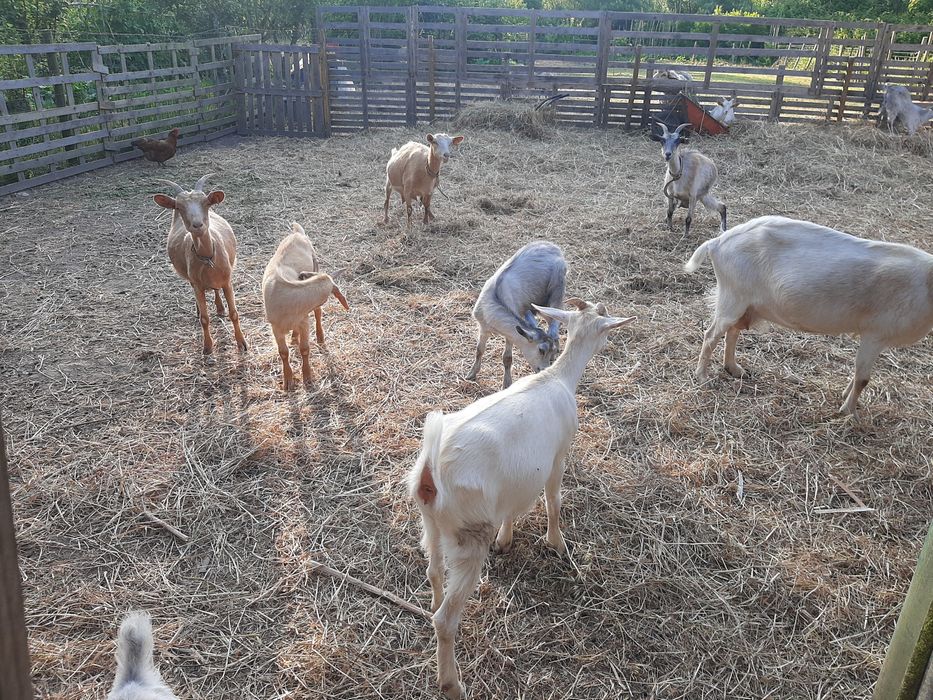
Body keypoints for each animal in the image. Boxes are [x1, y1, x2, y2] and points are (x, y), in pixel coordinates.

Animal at [155, 174, 247, 355]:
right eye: (178, 207)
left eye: (206, 203)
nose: (197, 225)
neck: (208, 257)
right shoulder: (197, 284)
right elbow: (205, 319)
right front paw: (208, 347)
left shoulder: (227, 281)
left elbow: (234, 313)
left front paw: (242, 344)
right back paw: (199, 310)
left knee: (216, 291)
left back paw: (220, 308)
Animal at [262, 222, 350, 388]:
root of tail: (297, 232)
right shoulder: (275, 327)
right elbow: (283, 352)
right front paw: (288, 381)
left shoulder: (304, 322)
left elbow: (304, 349)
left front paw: (307, 377)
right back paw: (293, 338)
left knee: (317, 313)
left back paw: (320, 337)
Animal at [409, 298, 635, 699]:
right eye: (606, 328)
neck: (558, 377)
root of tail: (431, 470)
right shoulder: (558, 455)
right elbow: (554, 500)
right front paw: (557, 543)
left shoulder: (514, 482)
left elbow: (513, 508)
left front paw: (507, 540)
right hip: (469, 533)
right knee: (446, 618)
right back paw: (452, 683)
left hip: (431, 522)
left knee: (433, 571)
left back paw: (432, 609)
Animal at [464, 241, 567, 389]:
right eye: (541, 350)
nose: (544, 370)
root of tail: (553, 247)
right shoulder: (483, 327)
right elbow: (479, 350)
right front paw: (471, 374)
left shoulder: (510, 335)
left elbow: (507, 358)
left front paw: (506, 384)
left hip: (554, 293)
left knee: (554, 322)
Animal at [685, 215, 933, 416]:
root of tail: (717, 243)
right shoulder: (875, 334)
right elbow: (863, 379)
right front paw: (849, 413)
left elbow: (857, 375)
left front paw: (845, 398)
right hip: (733, 297)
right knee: (711, 335)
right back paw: (702, 377)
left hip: (745, 304)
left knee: (733, 331)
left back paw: (734, 369)